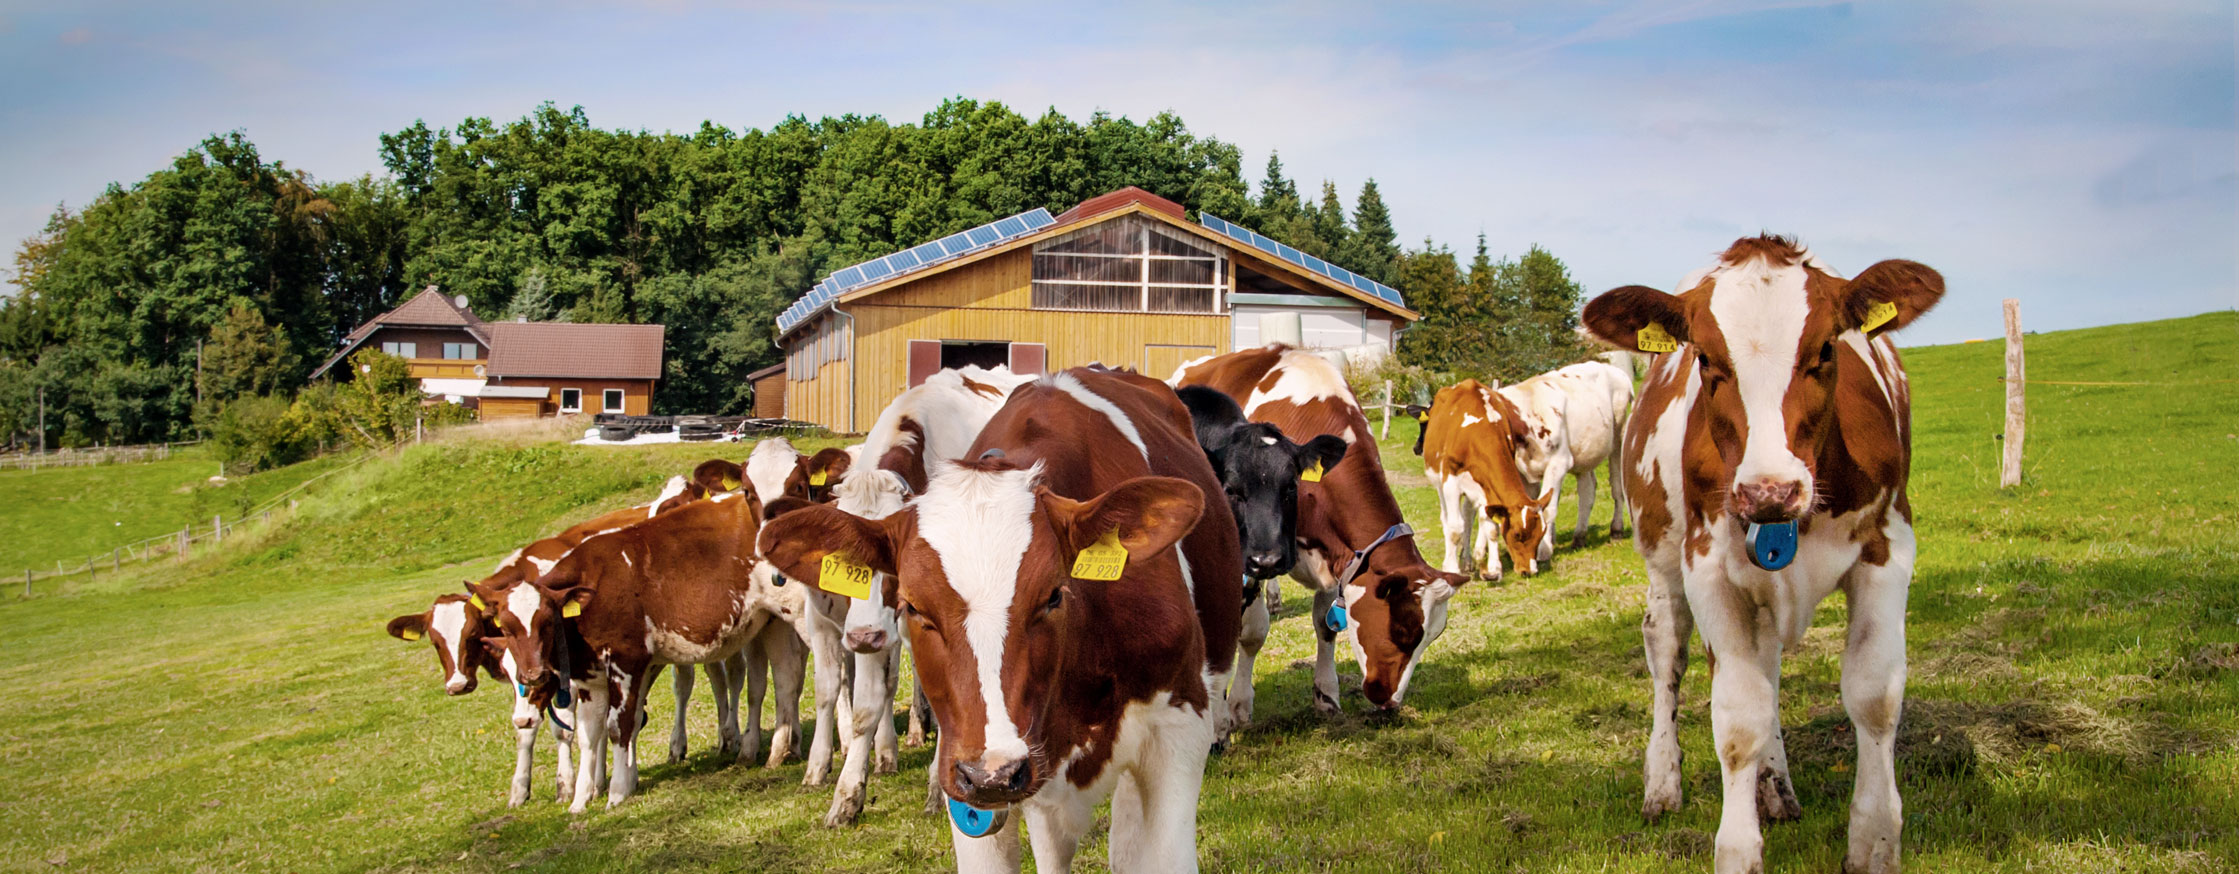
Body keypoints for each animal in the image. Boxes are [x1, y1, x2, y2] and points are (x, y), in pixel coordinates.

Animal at [1417, 379, 1549, 580]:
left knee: (1468, 514)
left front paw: (1494, 569)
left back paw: (1467, 560)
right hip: (1439, 482)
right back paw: (1451, 561)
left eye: (1542, 533)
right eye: (1517, 534)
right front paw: (1452, 569)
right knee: (1447, 518)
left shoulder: (1487, 484)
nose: (1529, 570)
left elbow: (1492, 526)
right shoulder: (1450, 480)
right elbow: (1455, 529)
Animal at [1499, 361, 1635, 555]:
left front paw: (1544, 550)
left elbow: (1547, 509)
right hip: (1586, 453)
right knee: (1587, 491)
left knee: (1617, 487)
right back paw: (1579, 537)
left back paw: (1616, 530)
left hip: (1618, 437)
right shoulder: (1524, 474)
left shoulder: (1558, 464)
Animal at [1582, 235, 1941, 874]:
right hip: (1664, 559)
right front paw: (1737, 848)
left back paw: (1775, 787)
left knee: (1767, 667)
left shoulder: (1889, 548)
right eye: (1705, 358)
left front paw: (1874, 840)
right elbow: (1738, 716)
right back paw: (1663, 782)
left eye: (1826, 349)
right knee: (1667, 654)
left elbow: (1873, 697)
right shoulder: (1709, 570)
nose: (1768, 491)